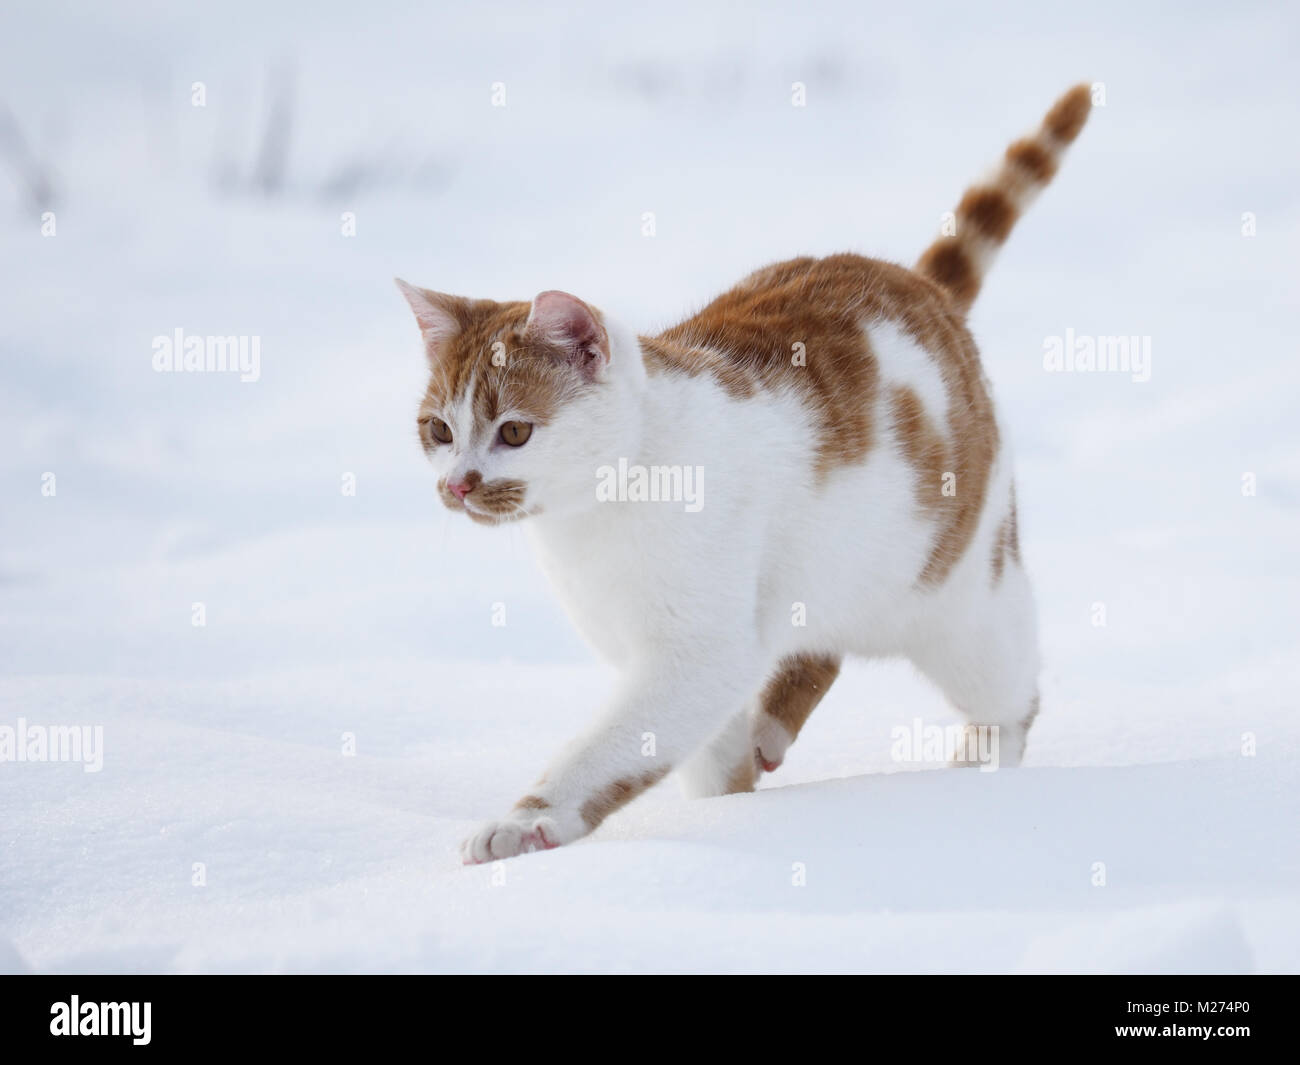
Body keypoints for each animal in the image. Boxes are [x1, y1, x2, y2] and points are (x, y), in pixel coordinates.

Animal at [400, 83, 1092, 868]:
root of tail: (919, 283)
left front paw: (526, 820)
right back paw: (775, 729)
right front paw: (729, 807)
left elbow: (604, 750)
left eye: (514, 431)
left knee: (1009, 693)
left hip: (963, 594)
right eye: (439, 431)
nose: (458, 484)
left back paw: (981, 771)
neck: (600, 509)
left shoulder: (698, 652)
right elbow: (705, 752)